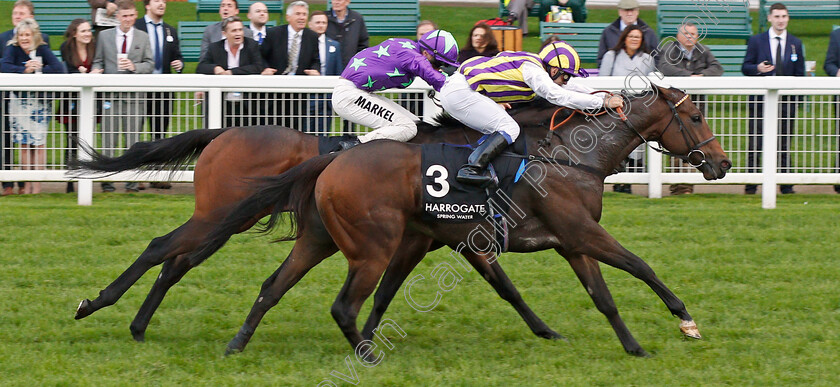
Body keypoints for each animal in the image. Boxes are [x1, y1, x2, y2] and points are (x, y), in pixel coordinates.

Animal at [74, 106, 572, 342]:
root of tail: (223, 132)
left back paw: (138, 325)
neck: (470, 145)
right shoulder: (431, 237)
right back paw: (96, 304)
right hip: (215, 215)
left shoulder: (432, 238)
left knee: (176, 263)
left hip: (227, 221)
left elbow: (500, 287)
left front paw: (545, 330)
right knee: (160, 248)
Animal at [194, 85, 732, 358]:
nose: (722, 164)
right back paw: (365, 353)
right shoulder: (581, 232)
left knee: (273, 285)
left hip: (322, 238)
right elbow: (641, 265)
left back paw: (238, 342)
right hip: (371, 246)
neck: (569, 156)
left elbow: (599, 297)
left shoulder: (565, 242)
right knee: (343, 304)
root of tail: (332, 161)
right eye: (697, 115)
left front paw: (632, 347)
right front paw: (685, 320)